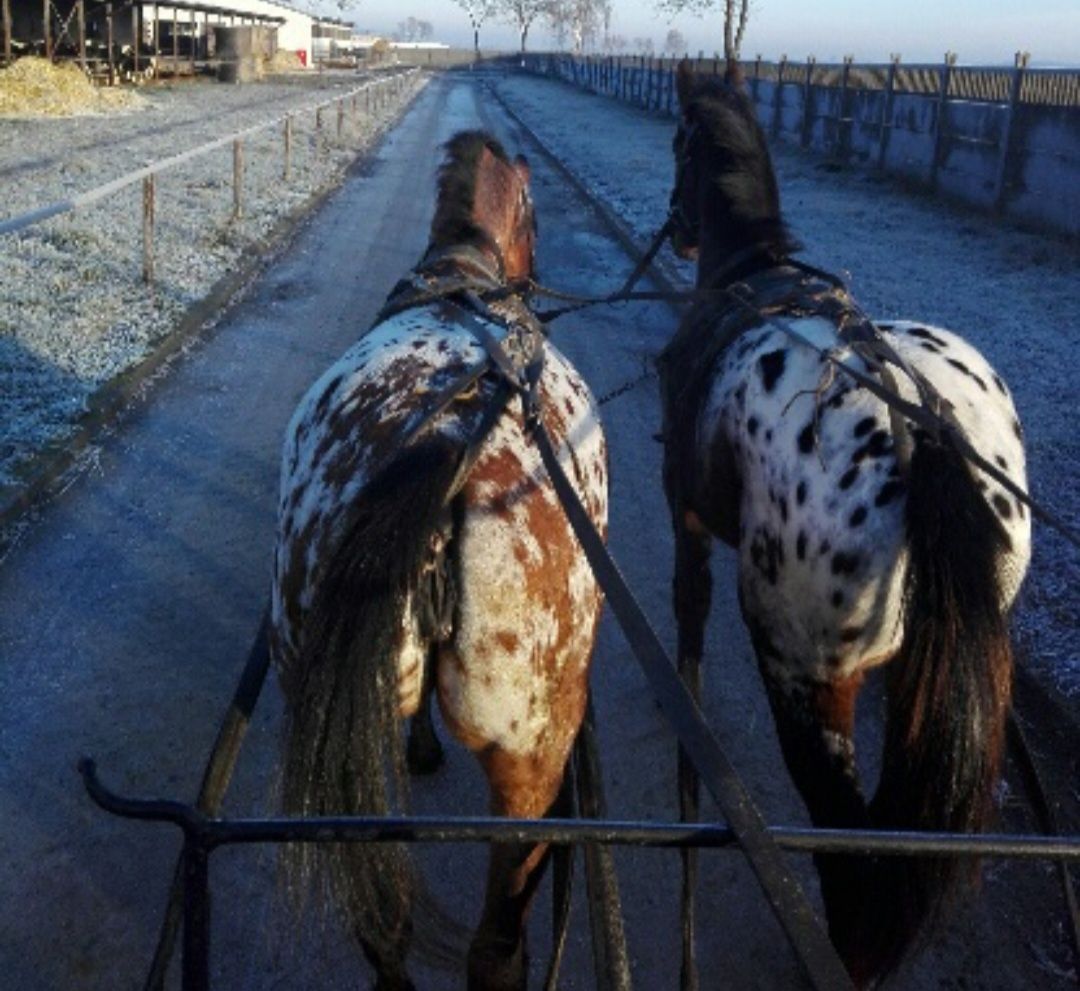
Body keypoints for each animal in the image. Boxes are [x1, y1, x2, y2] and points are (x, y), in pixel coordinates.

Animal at [270, 133, 609, 991]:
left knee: (379, 917)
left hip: (330, 727)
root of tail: (445, 437)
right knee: (496, 946)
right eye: (536, 212)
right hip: (530, 754)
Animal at [660, 65, 1032, 988]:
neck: (753, 273)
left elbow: (688, 621)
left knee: (845, 838)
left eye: (679, 144)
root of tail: (921, 427)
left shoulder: (684, 513)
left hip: (806, 675)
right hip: (917, 672)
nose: (678, 228)